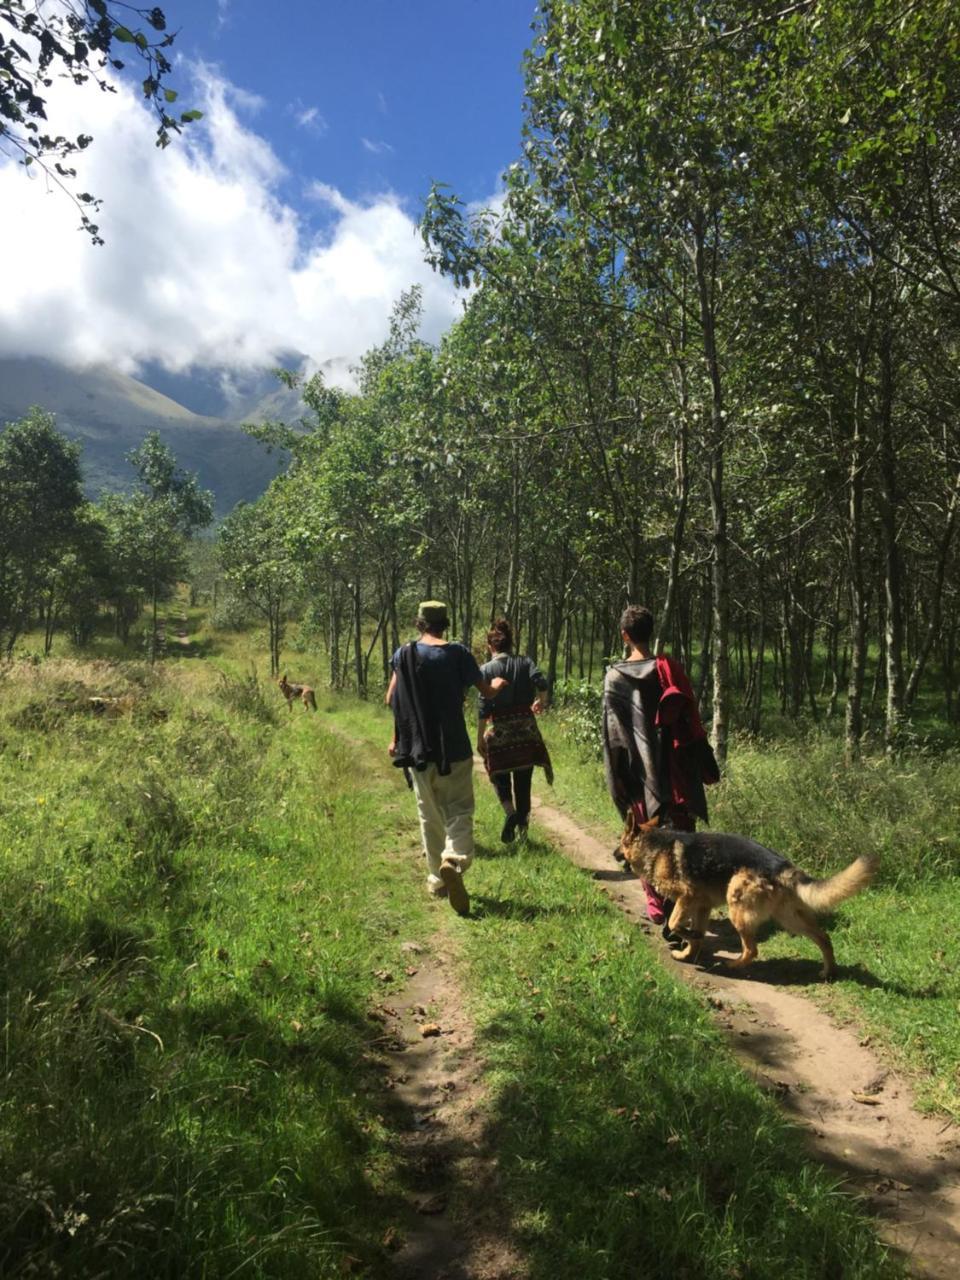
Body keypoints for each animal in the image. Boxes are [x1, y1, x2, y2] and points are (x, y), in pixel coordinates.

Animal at [624, 814, 880, 983]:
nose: (616, 854)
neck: (655, 845)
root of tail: (782, 867)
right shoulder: (702, 906)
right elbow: (694, 938)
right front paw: (686, 953)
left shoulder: (687, 897)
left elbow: (675, 923)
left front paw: (689, 937)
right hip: (789, 919)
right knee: (824, 937)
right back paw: (829, 972)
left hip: (738, 910)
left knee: (752, 950)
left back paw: (731, 965)